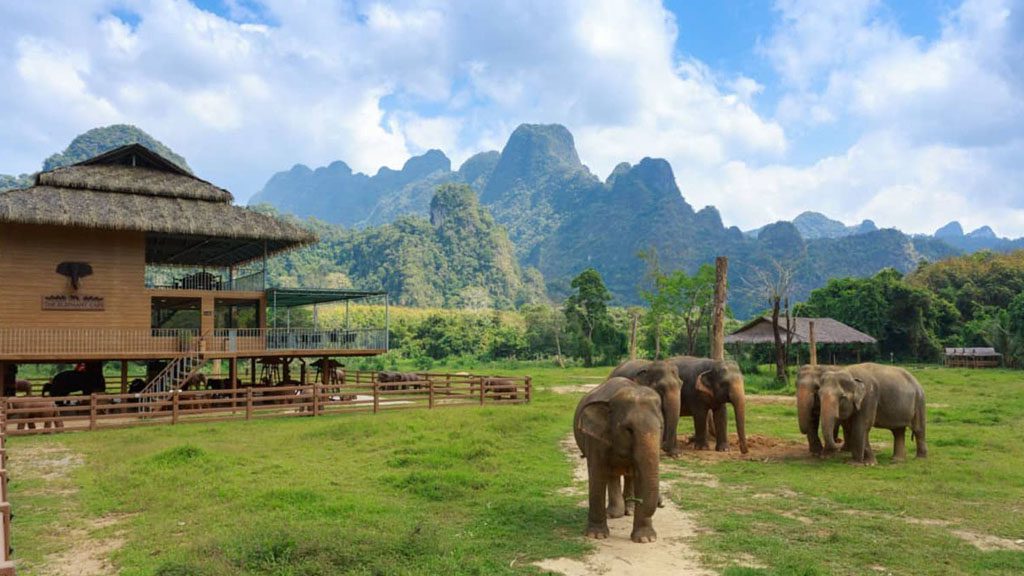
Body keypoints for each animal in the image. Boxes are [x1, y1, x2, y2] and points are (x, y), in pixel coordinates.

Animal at [573, 375, 659, 541]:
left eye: (660, 428)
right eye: (629, 430)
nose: (661, 503)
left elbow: (640, 475)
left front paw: (646, 539)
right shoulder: (595, 438)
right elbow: (597, 474)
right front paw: (596, 535)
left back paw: (628, 511)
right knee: (611, 474)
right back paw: (615, 514)